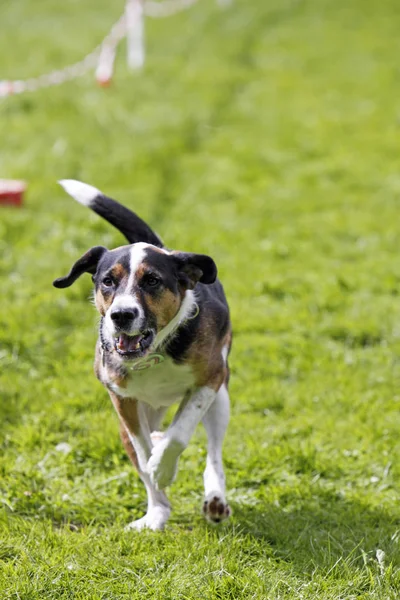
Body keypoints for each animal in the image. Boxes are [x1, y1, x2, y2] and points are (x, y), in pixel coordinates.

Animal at [54, 180, 233, 532]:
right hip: (136, 418)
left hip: (221, 400)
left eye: (152, 281)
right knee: (148, 455)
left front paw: (163, 465)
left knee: (213, 455)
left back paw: (214, 498)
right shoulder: (123, 401)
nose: (121, 315)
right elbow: (143, 448)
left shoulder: (210, 379)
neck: (156, 353)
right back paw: (156, 514)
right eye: (108, 281)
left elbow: (180, 434)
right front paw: (155, 469)